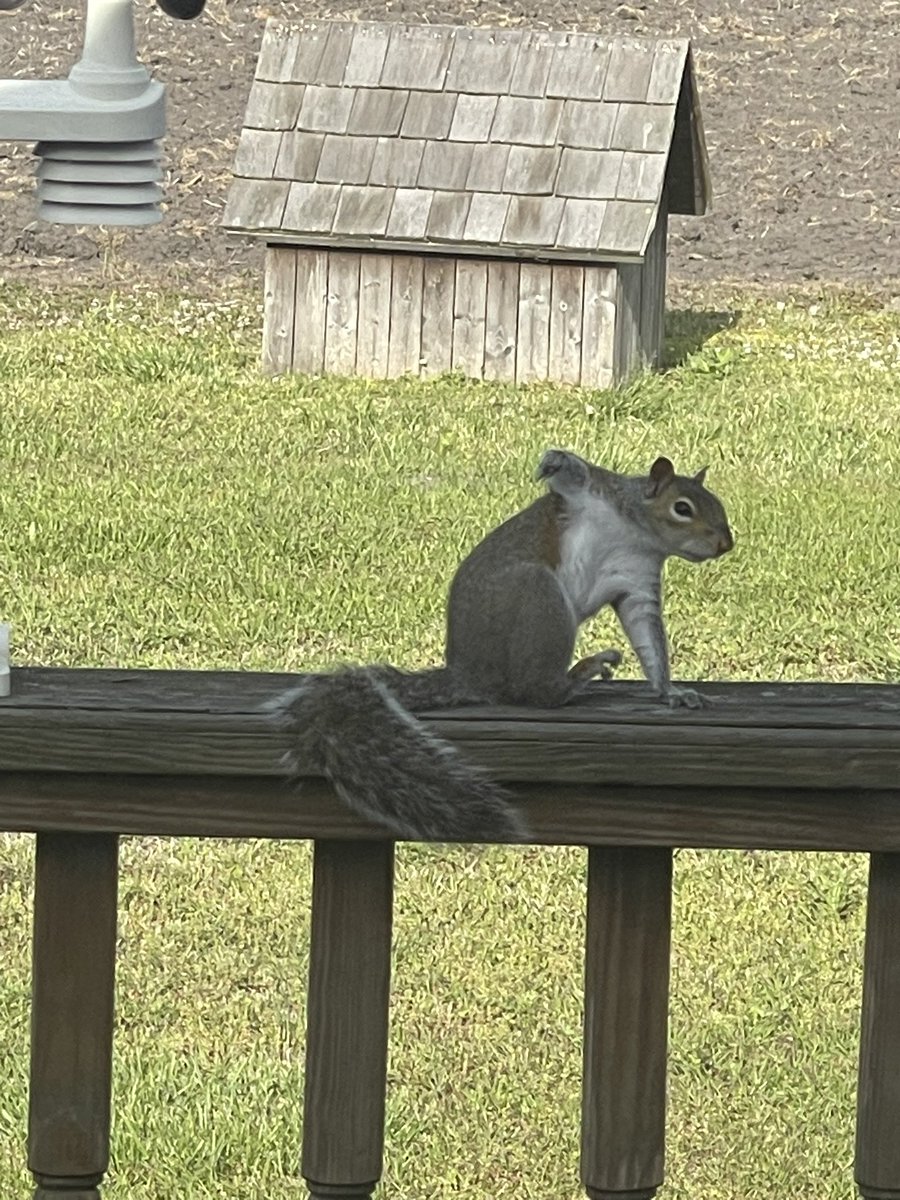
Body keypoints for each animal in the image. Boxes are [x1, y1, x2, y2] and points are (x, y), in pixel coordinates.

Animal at [269, 449, 733, 843]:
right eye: (683, 508)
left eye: (718, 505)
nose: (725, 543)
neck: (638, 535)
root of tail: (469, 673)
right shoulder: (596, 496)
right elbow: (578, 476)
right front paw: (556, 461)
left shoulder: (637, 583)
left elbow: (649, 642)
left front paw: (673, 693)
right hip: (538, 595)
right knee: (535, 692)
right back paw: (579, 676)